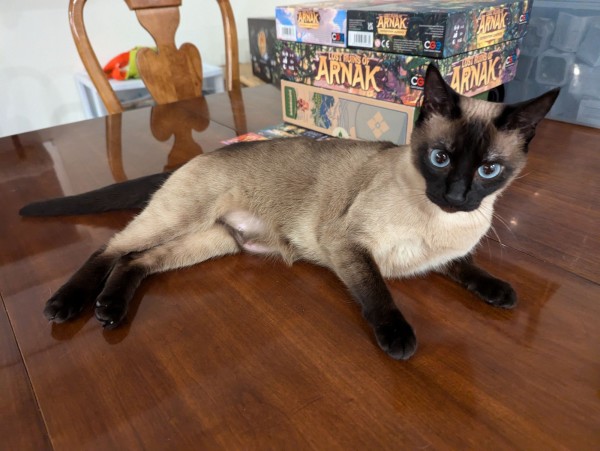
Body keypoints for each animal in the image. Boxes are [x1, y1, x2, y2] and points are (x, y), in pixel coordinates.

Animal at [22, 65, 556, 360]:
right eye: (440, 158)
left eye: (489, 170)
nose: (458, 195)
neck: (439, 221)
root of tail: (200, 154)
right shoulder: (349, 247)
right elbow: (379, 295)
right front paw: (399, 339)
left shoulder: (443, 255)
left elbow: (469, 267)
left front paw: (500, 292)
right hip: (182, 222)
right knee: (110, 248)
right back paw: (67, 306)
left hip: (212, 241)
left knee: (137, 261)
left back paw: (110, 311)